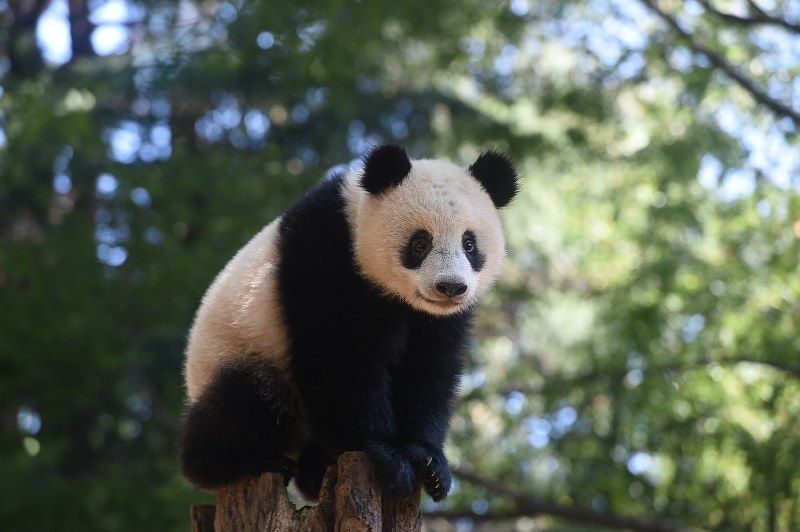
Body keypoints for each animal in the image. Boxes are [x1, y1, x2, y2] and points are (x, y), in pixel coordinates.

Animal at [180, 144, 517, 503]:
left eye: (469, 244)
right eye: (420, 243)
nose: (450, 287)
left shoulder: (437, 320)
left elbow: (429, 370)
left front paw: (429, 463)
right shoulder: (324, 259)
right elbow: (340, 359)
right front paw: (387, 456)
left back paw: (313, 474)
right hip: (241, 349)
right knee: (249, 398)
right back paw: (236, 462)